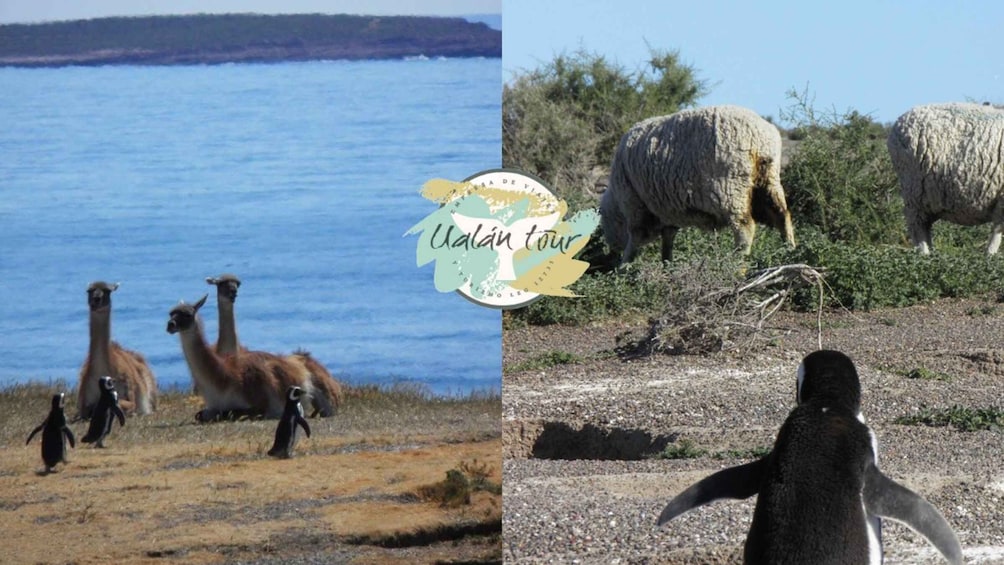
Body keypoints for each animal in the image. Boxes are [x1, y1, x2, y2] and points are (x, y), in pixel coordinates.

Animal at [79, 283, 156, 419]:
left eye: (107, 291)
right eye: (89, 291)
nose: (96, 300)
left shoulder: (127, 391)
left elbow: (125, 404)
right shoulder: (83, 400)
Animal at [168, 297, 315, 419]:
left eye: (188, 314)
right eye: (170, 313)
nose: (170, 325)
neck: (221, 380)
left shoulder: (259, 401)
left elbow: (233, 412)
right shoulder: (213, 405)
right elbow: (201, 415)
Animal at [598, 104, 795, 264]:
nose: (611, 252)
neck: (616, 203)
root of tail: (759, 135)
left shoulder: (635, 204)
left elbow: (636, 239)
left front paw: (624, 266)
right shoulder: (668, 210)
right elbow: (668, 239)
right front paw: (667, 264)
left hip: (731, 188)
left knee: (745, 227)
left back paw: (738, 265)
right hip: (768, 181)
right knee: (782, 216)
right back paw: (790, 251)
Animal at [887, 102, 1003, 254]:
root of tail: (898, 122)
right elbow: (996, 233)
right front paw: (990, 255)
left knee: (925, 227)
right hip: (913, 190)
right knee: (916, 226)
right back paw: (924, 253)